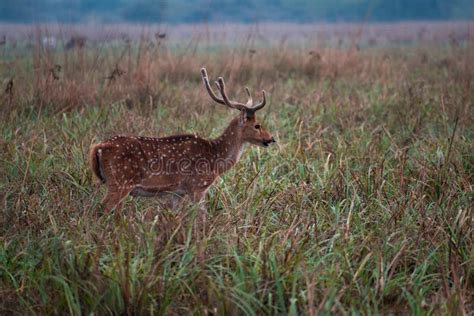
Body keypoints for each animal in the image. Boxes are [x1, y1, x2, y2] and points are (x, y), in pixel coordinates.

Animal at [89, 68, 276, 214]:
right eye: (257, 125)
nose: (271, 138)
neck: (215, 158)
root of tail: (99, 147)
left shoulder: (177, 193)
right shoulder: (197, 186)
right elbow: (202, 216)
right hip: (121, 181)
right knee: (100, 209)